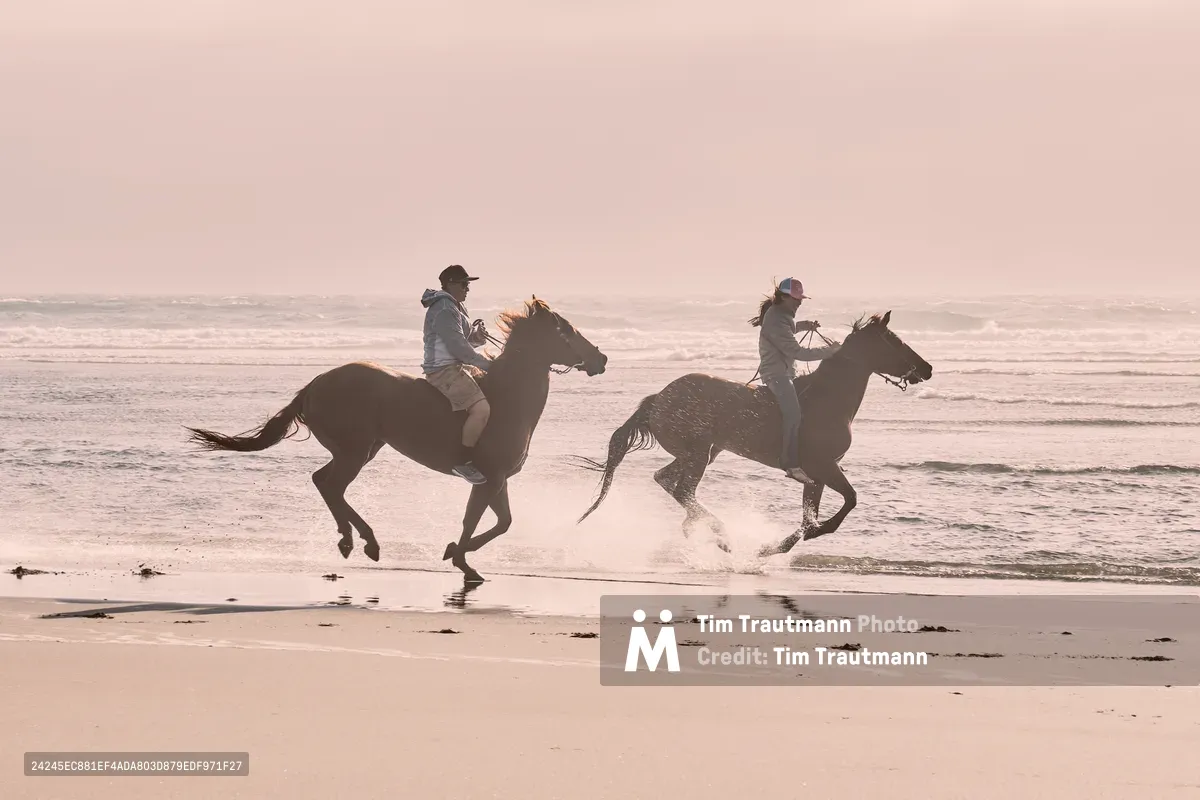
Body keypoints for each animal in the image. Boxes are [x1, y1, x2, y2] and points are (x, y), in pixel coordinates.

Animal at [187, 296, 608, 583]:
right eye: (566, 331)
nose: (601, 359)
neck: (508, 398)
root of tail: (315, 384)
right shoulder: (488, 477)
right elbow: (477, 520)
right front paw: (460, 559)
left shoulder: (498, 479)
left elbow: (502, 522)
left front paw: (458, 553)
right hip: (355, 450)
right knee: (331, 485)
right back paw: (363, 543)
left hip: (363, 449)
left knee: (325, 482)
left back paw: (353, 540)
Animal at [572, 311, 931, 556]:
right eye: (896, 341)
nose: (927, 368)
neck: (827, 399)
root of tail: (657, 399)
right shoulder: (825, 466)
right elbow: (849, 500)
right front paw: (814, 534)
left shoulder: (816, 475)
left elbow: (808, 517)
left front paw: (771, 550)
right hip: (698, 453)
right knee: (683, 489)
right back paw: (720, 534)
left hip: (703, 453)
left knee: (667, 481)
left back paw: (705, 531)